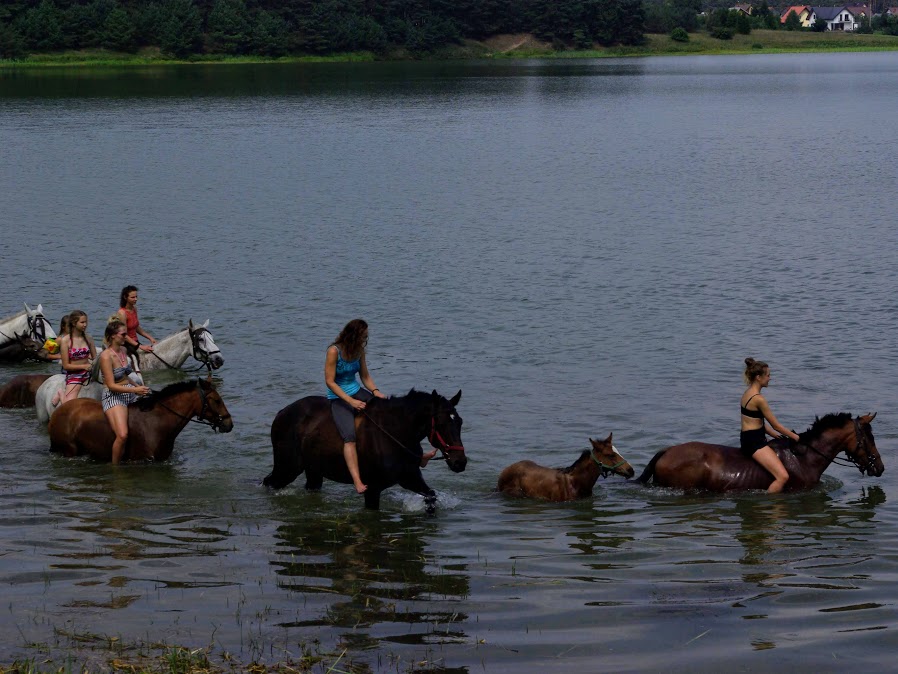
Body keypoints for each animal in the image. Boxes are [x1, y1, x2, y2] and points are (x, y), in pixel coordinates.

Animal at [262, 388, 466, 510]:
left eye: (460, 422)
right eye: (441, 424)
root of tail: (281, 413)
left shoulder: (409, 477)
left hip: (313, 470)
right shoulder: (372, 489)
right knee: (268, 482)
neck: (395, 434)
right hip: (287, 467)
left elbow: (431, 496)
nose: (460, 462)